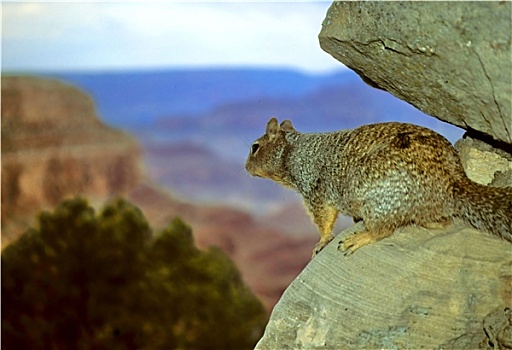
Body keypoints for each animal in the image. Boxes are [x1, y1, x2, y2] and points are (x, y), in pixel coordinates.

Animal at [245, 117, 512, 258]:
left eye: (254, 147)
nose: (245, 167)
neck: (293, 151)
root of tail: (452, 181)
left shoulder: (313, 191)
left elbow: (324, 220)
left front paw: (322, 241)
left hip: (377, 199)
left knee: (383, 230)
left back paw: (358, 238)